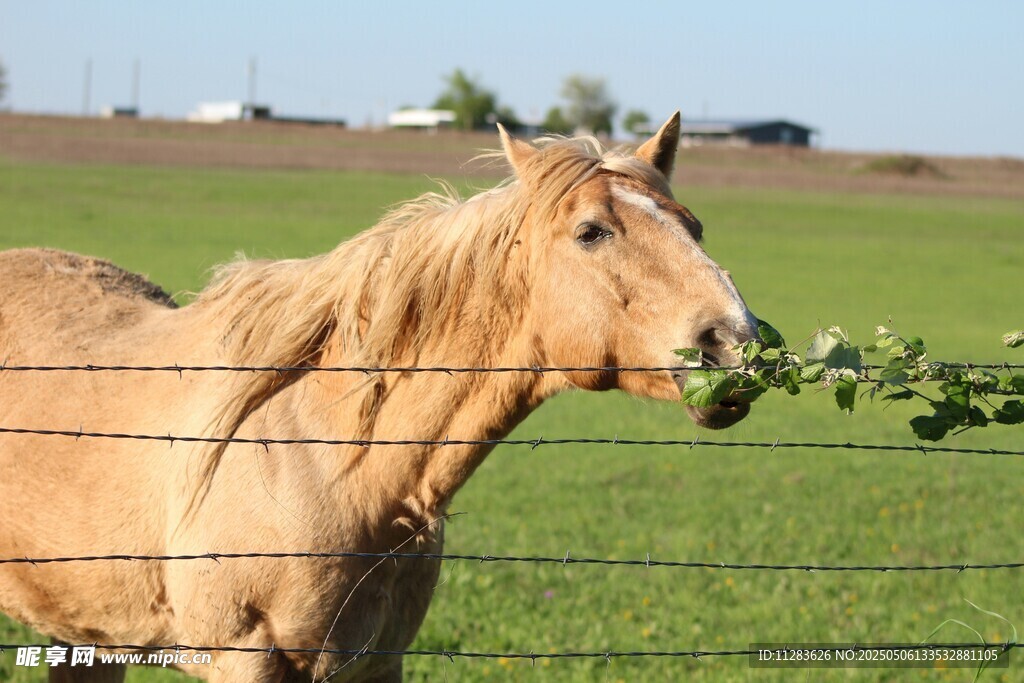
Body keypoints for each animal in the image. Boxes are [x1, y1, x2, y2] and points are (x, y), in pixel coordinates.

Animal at [0, 113, 760, 682]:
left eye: (693, 226)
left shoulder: (375, 661)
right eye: (592, 232)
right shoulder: (242, 656)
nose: (734, 344)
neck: (329, 457)